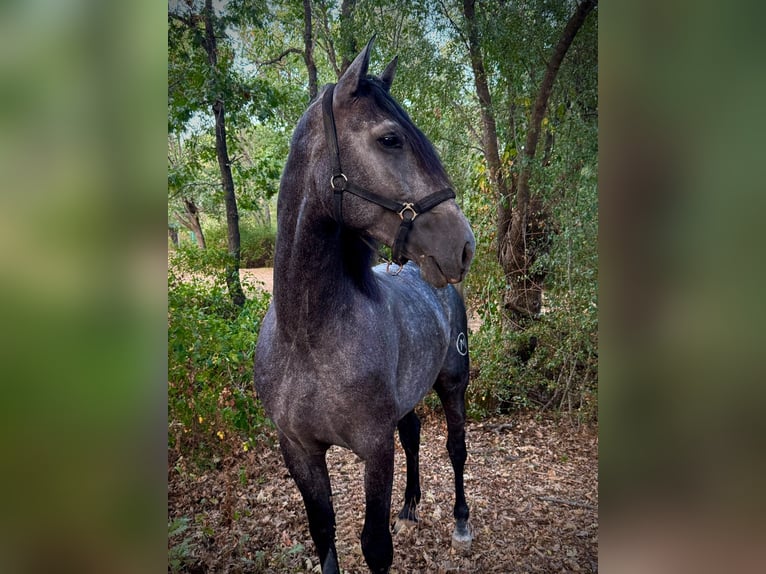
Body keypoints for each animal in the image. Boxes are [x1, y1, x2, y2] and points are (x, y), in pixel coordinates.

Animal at [254, 37, 475, 574]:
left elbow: (375, 546)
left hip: (453, 384)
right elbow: (323, 533)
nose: (463, 245)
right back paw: (411, 506)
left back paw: (460, 522)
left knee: (456, 449)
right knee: (413, 433)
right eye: (391, 139)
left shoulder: (375, 449)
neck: (306, 337)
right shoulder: (300, 451)